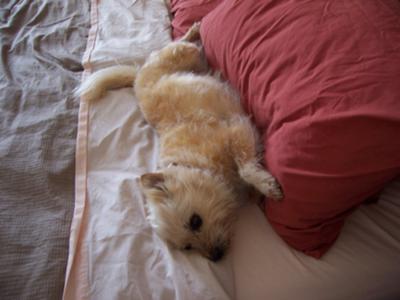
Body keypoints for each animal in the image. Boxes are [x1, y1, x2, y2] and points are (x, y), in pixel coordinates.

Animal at [76, 23, 282, 262]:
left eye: (195, 221)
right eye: (188, 247)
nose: (215, 256)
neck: (196, 164)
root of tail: (138, 74)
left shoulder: (237, 130)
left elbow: (246, 169)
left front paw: (265, 186)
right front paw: (256, 192)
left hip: (184, 55)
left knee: (180, 43)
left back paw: (194, 31)